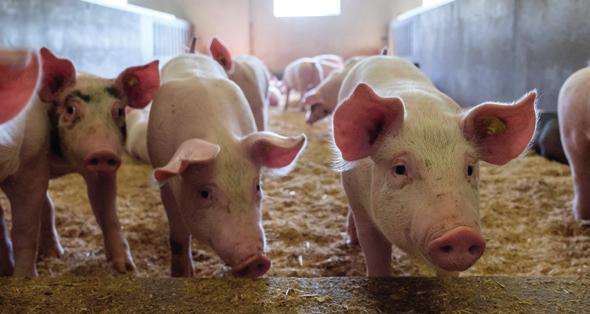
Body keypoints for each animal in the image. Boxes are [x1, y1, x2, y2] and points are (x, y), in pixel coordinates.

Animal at [0, 45, 161, 276]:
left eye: (119, 110)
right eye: (71, 109)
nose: (103, 152)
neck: (64, 163)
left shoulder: (102, 172)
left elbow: (107, 212)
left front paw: (126, 268)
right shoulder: (31, 168)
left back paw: (55, 254)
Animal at [147, 52, 308, 278]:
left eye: (257, 186)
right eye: (204, 193)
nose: (256, 261)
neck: (218, 136)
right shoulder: (166, 185)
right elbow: (178, 239)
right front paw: (183, 275)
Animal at [332, 55, 540, 276]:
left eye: (469, 169)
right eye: (400, 169)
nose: (460, 234)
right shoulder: (367, 220)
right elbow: (376, 259)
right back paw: (351, 240)